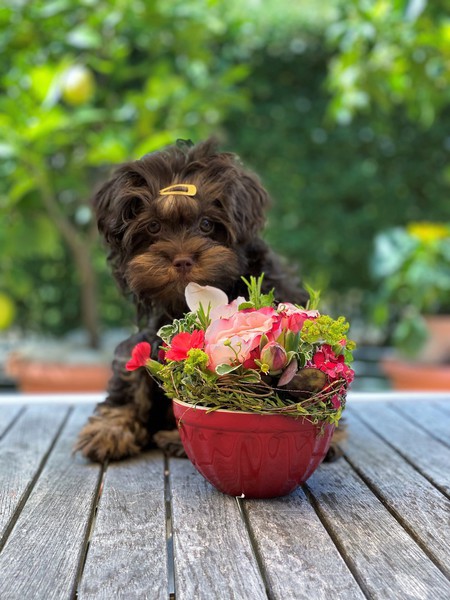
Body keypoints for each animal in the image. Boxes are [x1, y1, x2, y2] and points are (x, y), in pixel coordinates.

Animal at [75, 138, 313, 463]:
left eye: (206, 224)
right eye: (153, 227)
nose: (182, 260)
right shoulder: (156, 332)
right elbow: (131, 372)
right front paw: (110, 428)